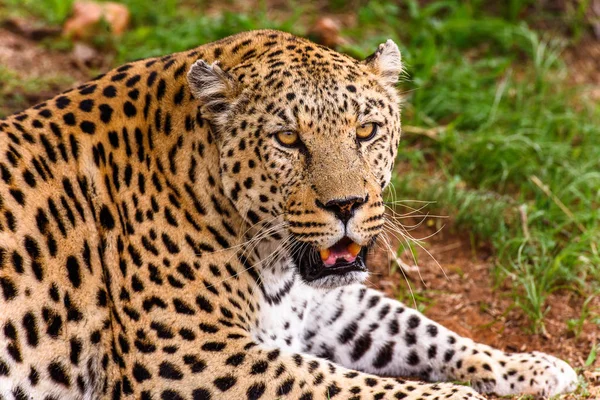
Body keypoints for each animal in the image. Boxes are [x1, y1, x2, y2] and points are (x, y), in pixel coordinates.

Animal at [0, 29, 576, 398]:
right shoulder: (192, 356)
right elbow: (348, 385)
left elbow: (416, 328)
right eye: (287, 140)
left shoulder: (322, 302)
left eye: (366, 130)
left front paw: (532, 366)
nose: (346, 205)